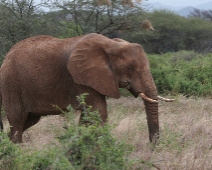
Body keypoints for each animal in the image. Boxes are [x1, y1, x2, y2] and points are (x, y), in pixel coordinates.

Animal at [0, 32, 172, 143]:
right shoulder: (81, 78)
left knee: (27, 121)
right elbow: (99, 112)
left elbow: (88, 116)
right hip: (11, 84)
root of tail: (6, 56)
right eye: (130, 68)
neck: (111, 44)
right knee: (17, 121)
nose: (152, 146)